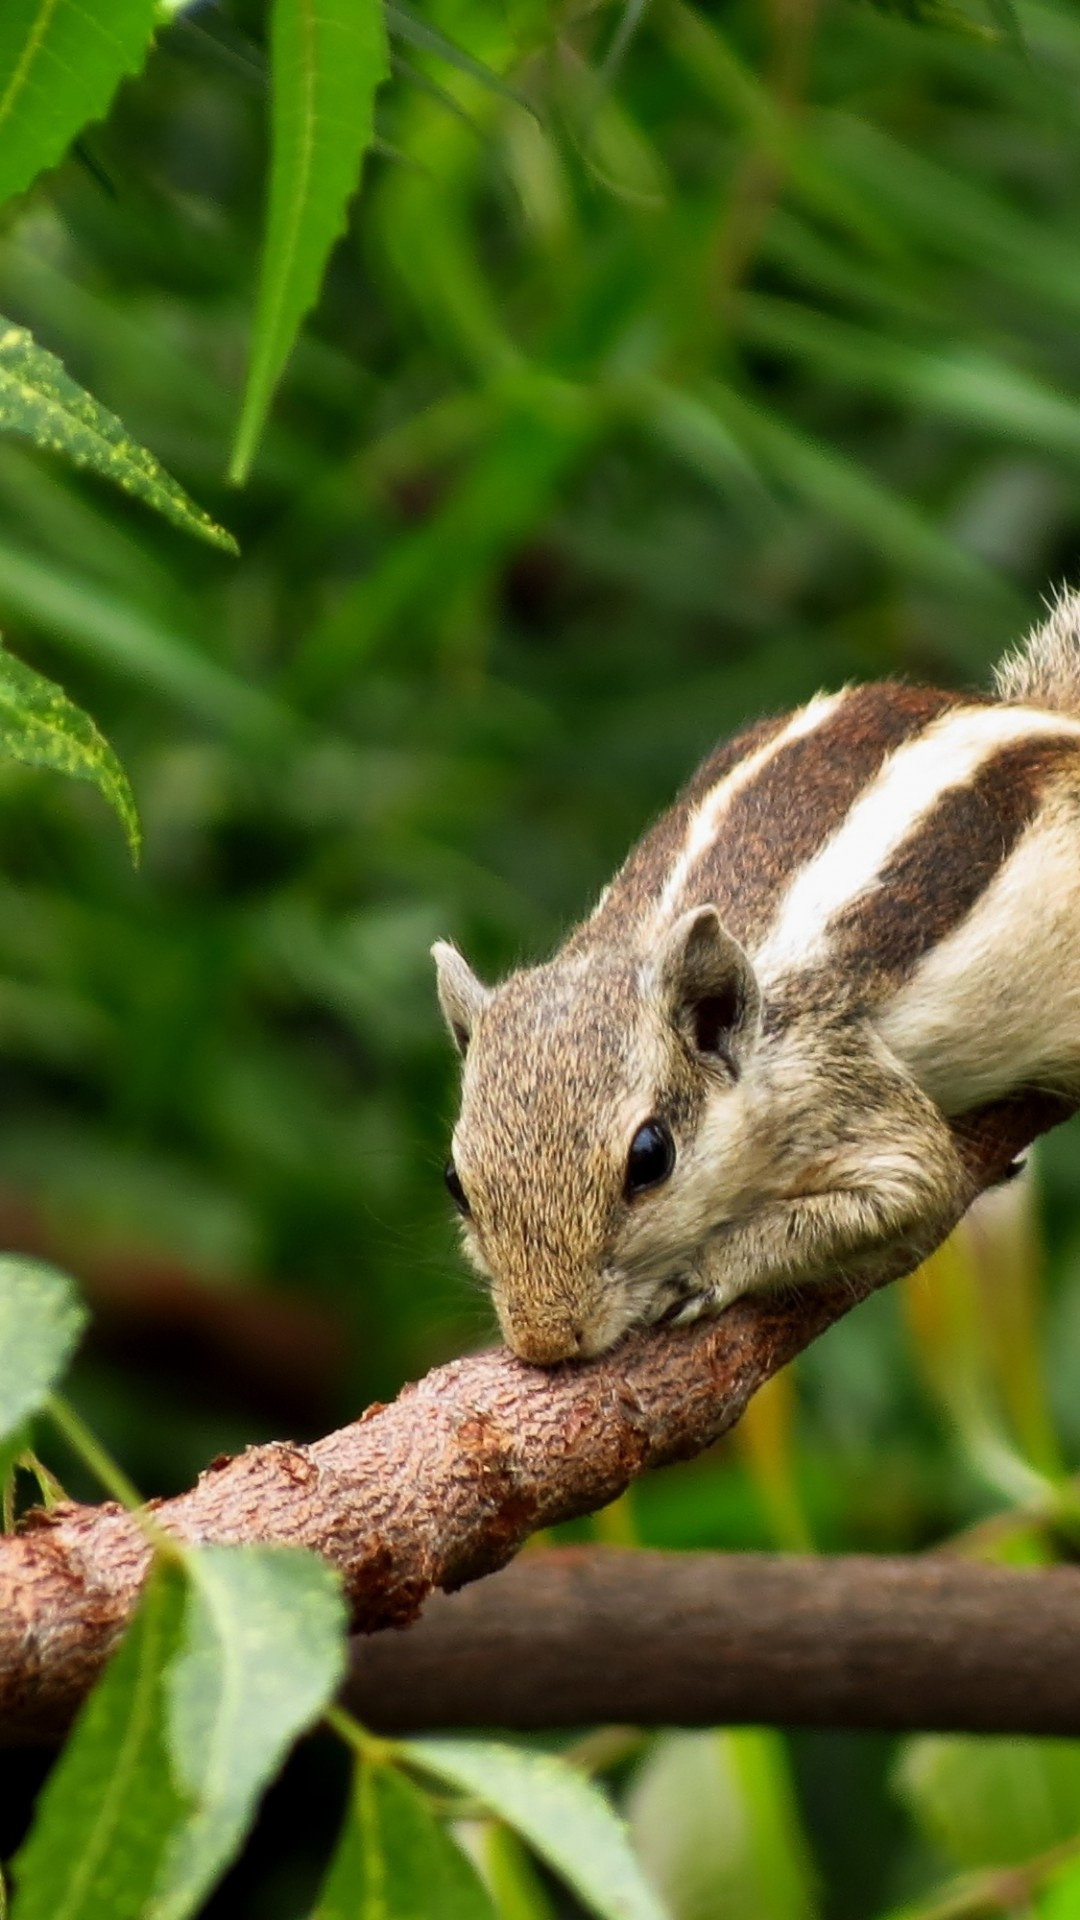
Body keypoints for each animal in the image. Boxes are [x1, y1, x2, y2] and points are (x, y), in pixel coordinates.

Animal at [432, 591, 1076, 1359]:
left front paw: (706, 1267)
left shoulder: (840, 1083)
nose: (547, 1341)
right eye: (454, 1181)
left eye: (650, 1159)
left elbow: (914, 1183)